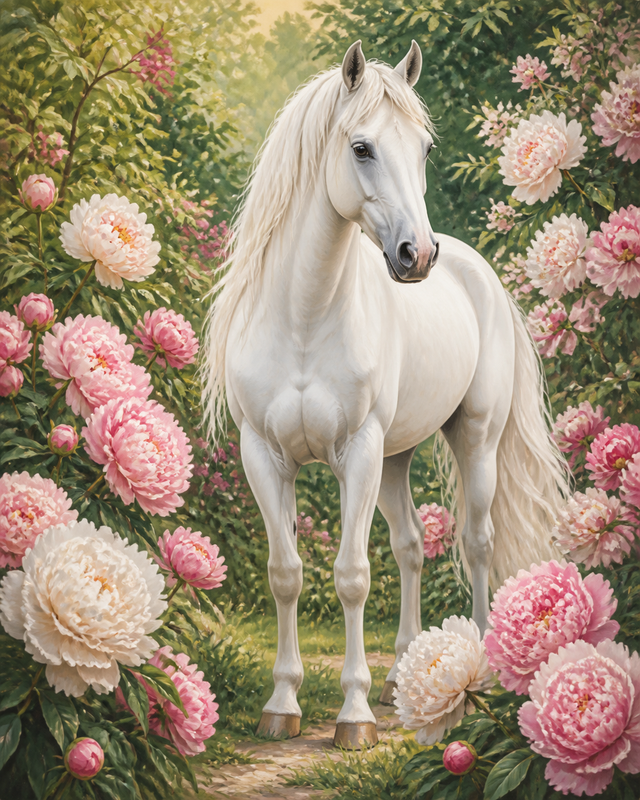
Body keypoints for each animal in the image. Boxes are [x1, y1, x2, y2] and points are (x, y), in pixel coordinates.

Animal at [203, 40, 570, 750]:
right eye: (362, 147)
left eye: (424, 148)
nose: (417, 254)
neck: (303, 319)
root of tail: (478, 271)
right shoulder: (264, 456)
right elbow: (286, 573)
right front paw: (282, 705)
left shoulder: (358, 453)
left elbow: (351, 577)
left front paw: (354, 716)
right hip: (396, 458)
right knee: (410, 547)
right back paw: (403, 671)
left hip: (470, 441)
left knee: (477, 542)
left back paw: (478, 668)